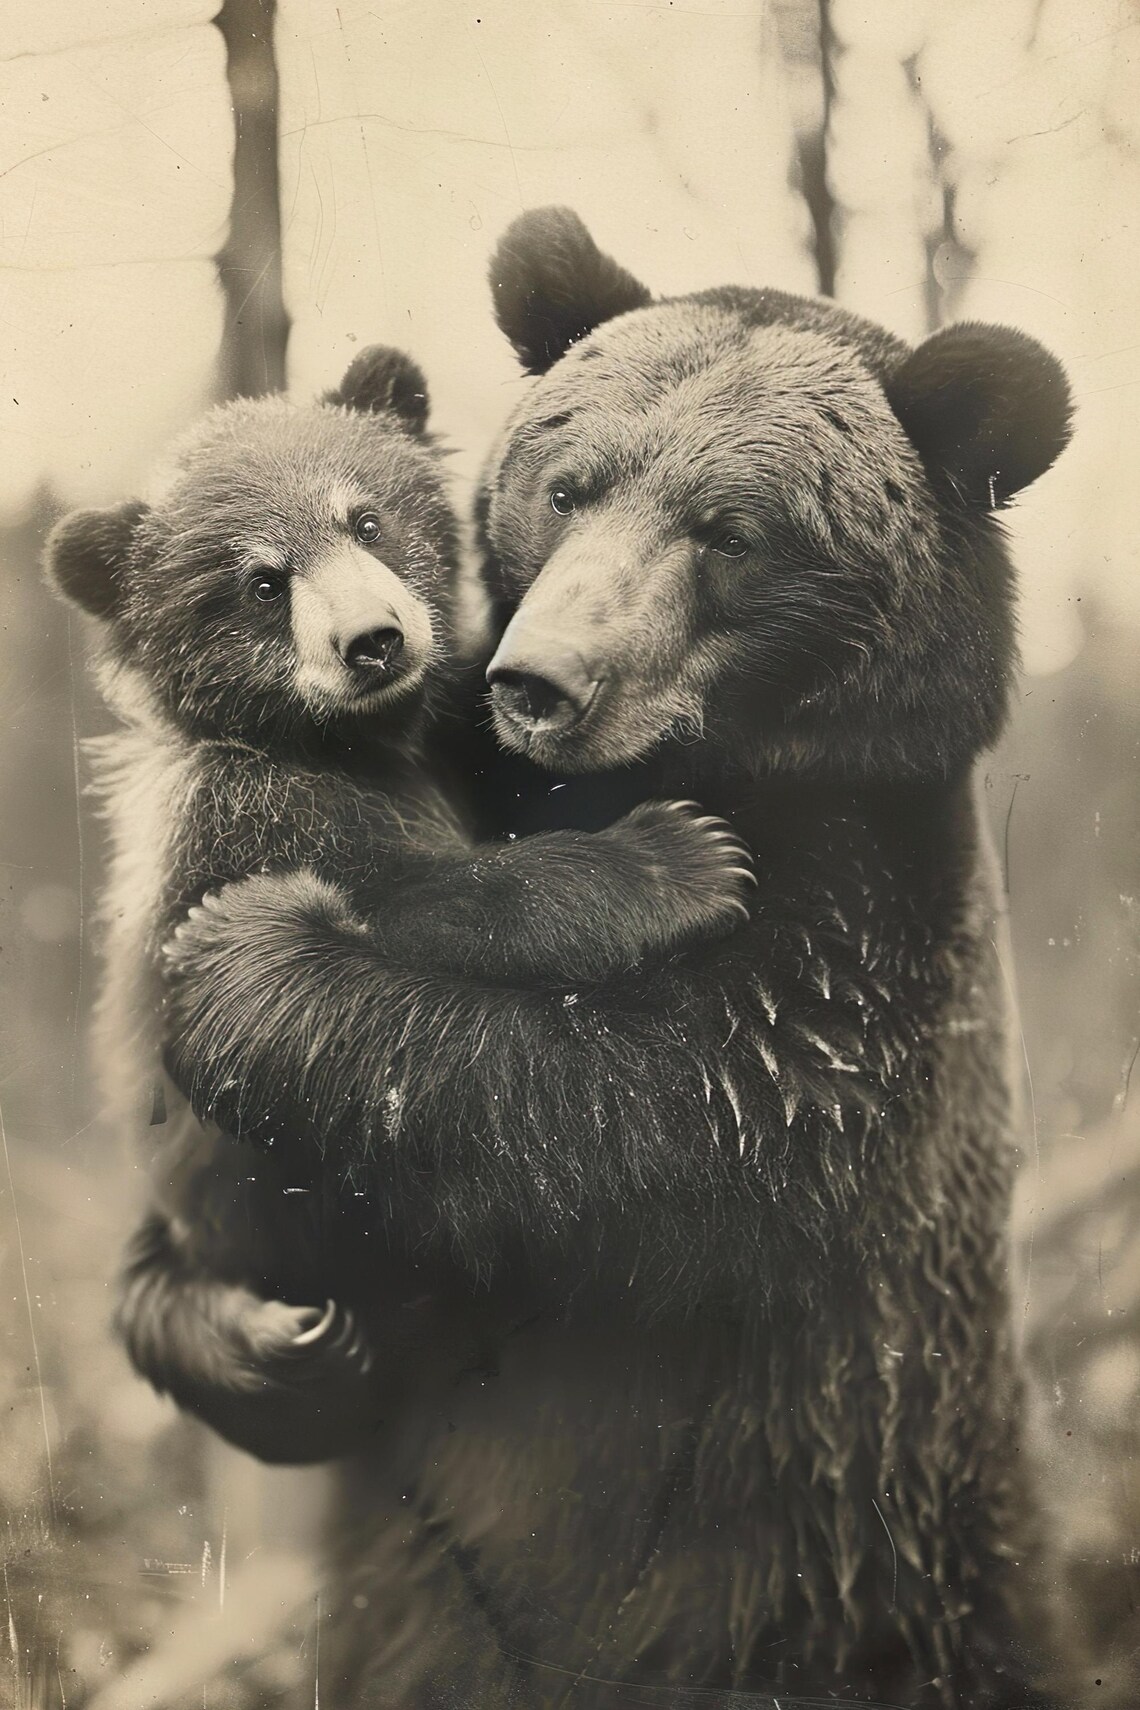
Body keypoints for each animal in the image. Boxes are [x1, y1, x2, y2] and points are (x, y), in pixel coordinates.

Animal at [45, 340, 754, 1466]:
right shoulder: (255, 819)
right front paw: (685, 856)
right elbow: (418, 899)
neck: (360, 743)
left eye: (366, 519)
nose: (373, 638)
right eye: (261, 581)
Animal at [160, 212, 1074, 1707]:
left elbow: (654, 1111)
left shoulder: (864, 949)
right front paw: (256, 1339)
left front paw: (240, 955)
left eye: (733, 531)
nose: (541, 681)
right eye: (568, 484)